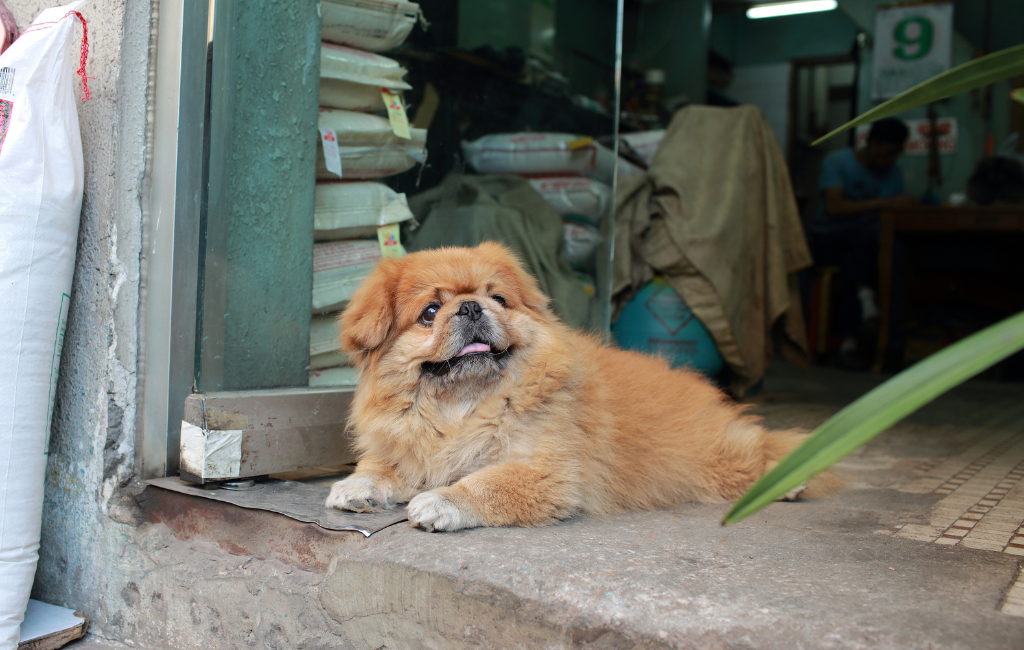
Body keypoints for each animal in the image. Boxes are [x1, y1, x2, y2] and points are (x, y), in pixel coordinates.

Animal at [327, 241, 823, 532]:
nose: (470, 307)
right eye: (430, 312)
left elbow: (484, 483)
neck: (462, 409)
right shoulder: (412, 451)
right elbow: (380, 468)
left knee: (761, 449)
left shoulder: (546, 471)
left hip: (718, 461)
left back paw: (788, 480)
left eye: (497, 298)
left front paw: (440, 502)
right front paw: (355, 487)